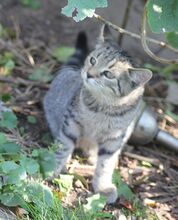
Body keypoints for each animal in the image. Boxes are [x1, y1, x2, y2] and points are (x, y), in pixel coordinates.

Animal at [43, 24, 152, 204]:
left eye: (108, 74)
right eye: (93, 60)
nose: (88, 74)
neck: (104, 108)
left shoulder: (115, 138)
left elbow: (105, 165)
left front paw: (103, 187)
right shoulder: (71, 122)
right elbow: (63, 146)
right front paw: (53, 167)